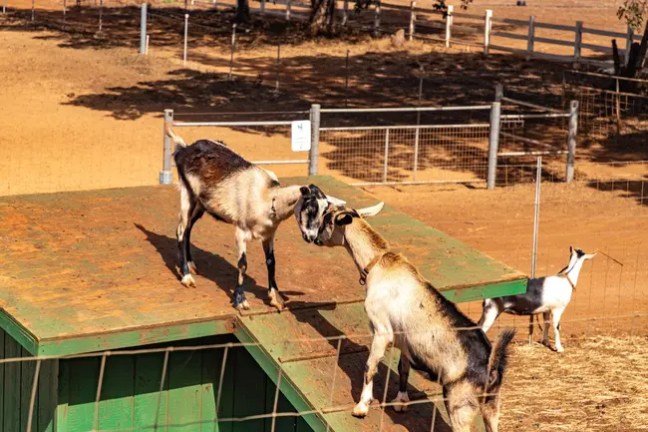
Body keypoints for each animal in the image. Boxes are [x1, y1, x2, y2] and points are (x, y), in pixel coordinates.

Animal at [168, 127, 341, 311]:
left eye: (324, 212)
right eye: (310, 207)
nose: (312, 237)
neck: (268, 197)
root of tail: (184, 149)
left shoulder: (268, 235)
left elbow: (271, 262)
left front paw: (275, 297)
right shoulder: (240, 232)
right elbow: (243, 264)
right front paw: (240, 300)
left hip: (201, 204)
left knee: (188, 228)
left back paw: (190, 264)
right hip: (187, 194)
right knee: (181, 230)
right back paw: (186, 276)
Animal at [308, 202, 515, 432]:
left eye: (327, 218)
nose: (314, 238)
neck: (379, 264)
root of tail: (490, 365)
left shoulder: (381, 331)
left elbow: (370, 367)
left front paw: (362, 406)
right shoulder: (404, 340)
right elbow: (403, 368)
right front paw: (401, 401)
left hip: (460, 404)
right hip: (492, 406)